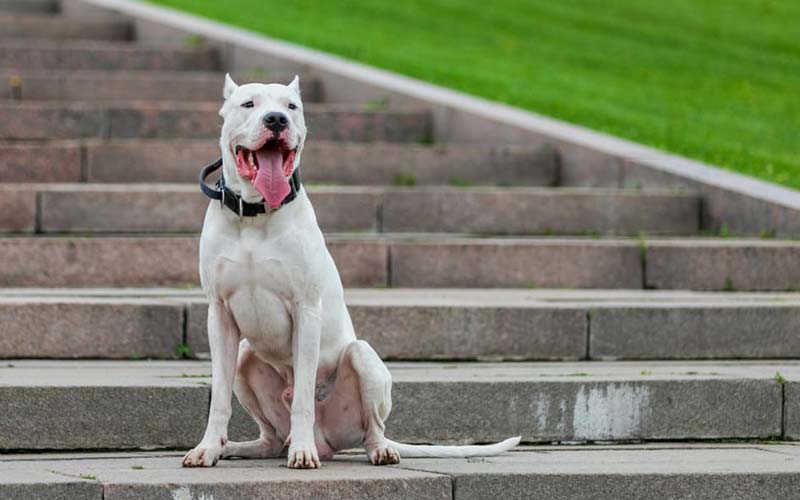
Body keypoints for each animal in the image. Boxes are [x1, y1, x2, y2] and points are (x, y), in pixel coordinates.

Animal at [181, 75, 520, 468]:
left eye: (292, 106)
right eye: (249, 104)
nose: (277, 120)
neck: (255, 213)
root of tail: (327, 440)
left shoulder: (306, 310)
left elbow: (303, 398)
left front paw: (301, 453)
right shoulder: (219, 314)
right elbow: (219, 397)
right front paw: (208, 447)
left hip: (363, 359)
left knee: (372, 426)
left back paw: (368, 449)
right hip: (245, 356)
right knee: (270, 436)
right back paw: (240, 447)